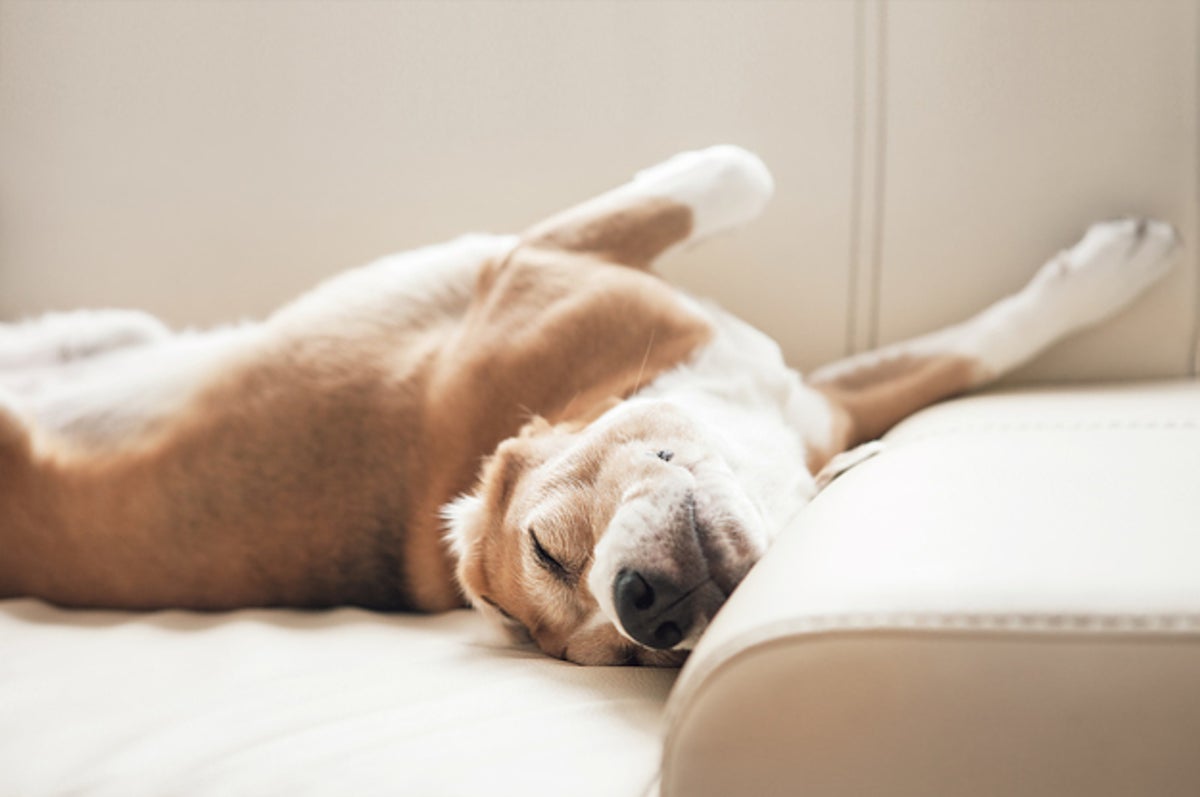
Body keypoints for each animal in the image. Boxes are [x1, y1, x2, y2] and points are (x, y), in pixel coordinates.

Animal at [0, 147, 1180, 667]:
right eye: (628, 654)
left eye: (547, 546)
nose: (644, 605)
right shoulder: (537, 260)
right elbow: (733, 177)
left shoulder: (809, 398)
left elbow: (967, 350)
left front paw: (1108, 272)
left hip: (91, 329)